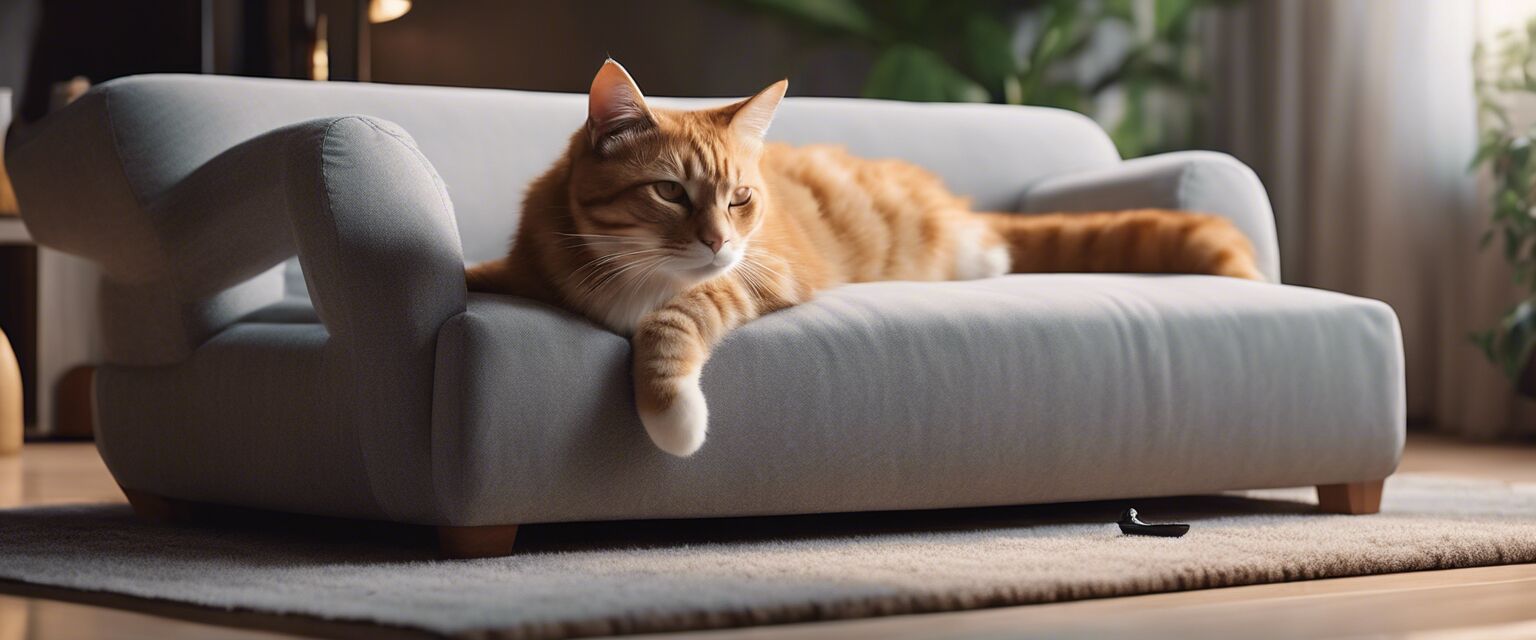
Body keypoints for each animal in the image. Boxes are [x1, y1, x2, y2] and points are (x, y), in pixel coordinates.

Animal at [466, 59, 1259, 457]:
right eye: (668, 191)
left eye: (741, 199)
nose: (719, 241)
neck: (634, 275)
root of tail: (954, 204)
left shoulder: (763, 274)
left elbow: (676, 318)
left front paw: (671, 415)